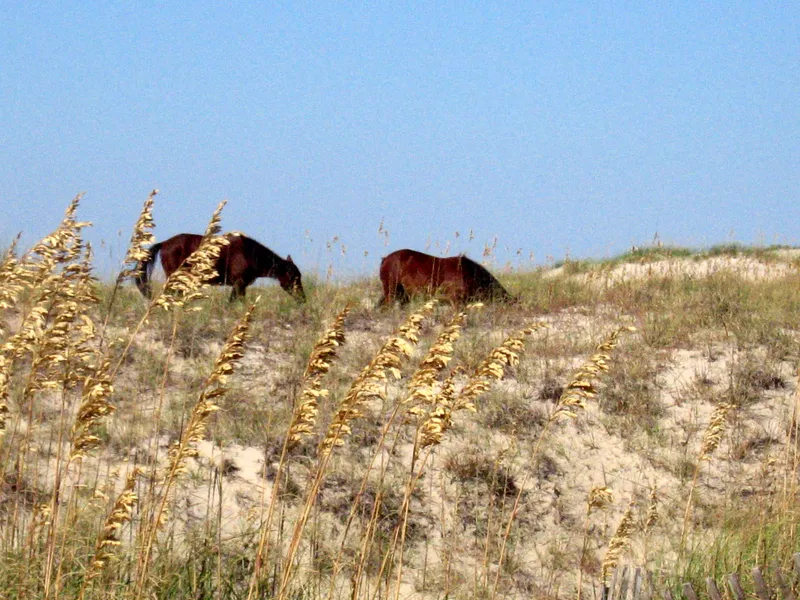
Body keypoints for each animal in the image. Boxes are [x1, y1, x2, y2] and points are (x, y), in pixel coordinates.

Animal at [134, 233, 306, 302]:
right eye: (294, 277)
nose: (303, 298)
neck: (249, 253)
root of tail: (165, 243)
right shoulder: (239, 285)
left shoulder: (239, 286)